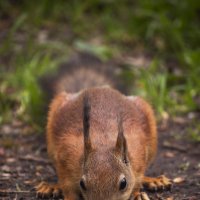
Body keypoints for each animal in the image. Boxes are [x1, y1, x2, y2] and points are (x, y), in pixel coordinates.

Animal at [35, 56, 171, 200]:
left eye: (123, 183)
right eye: (82, 183)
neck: (103, 143)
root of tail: (97, 87)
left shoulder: (139, 154)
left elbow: (137, 180)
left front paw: (136, 194)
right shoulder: (65, 156)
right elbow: (67, 185)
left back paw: (154, 180)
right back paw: (51, 187)